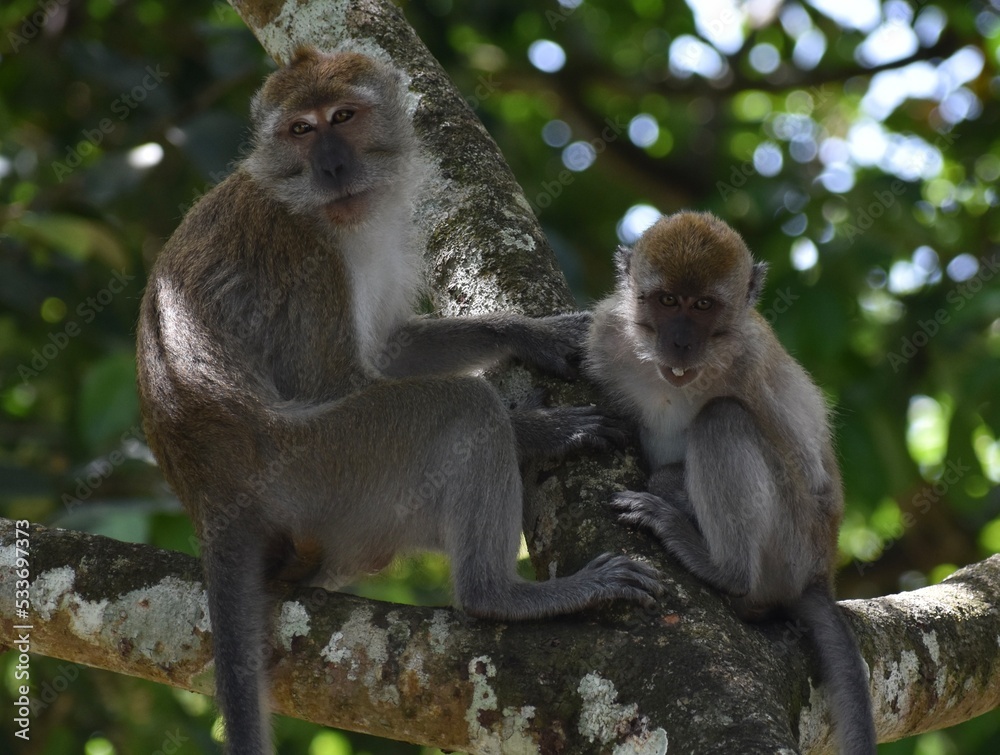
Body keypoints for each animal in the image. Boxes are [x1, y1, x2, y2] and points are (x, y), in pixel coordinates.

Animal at [136, 48, 661, 755]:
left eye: (343, 117)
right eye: (300, 130)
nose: (331, 166)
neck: (317, 206)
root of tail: (212, 499)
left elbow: (387, 352)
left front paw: (536, 333)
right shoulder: (304, 253)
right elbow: (335, 383)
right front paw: (546, 430)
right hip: (323, 467)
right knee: (460, 408)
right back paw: (499, 594)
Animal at [583, 211, 876, 754]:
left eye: (703, 306)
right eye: (667, 301)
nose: (680, 341)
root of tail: (819, 573)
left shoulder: (752, 363)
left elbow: (812, 473)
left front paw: (667, 486)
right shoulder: (605, 336)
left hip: (792, 544)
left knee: (722, 419)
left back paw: (720, 565)